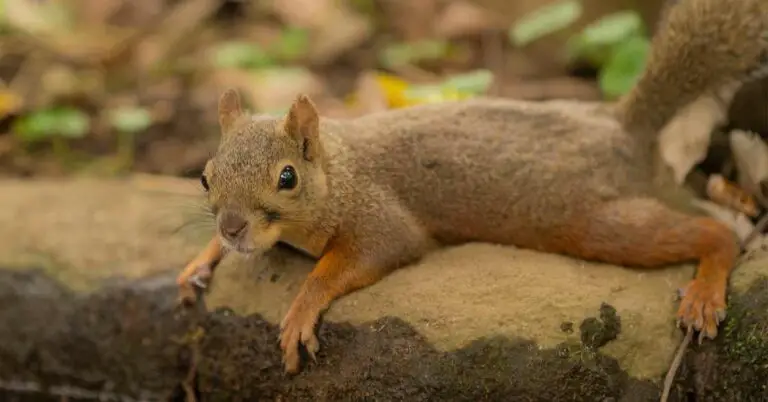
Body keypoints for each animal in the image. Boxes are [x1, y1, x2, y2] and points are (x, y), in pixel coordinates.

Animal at [176, 0, 768, 374]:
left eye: (287, 178)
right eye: (204, 176)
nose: (232, 228)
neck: (338, 173)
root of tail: (622, 129)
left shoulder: (381, 217)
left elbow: (355, 260)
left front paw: (300, 310)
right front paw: (201, 259)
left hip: (595, 222)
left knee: (715, 233)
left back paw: (704, 290)